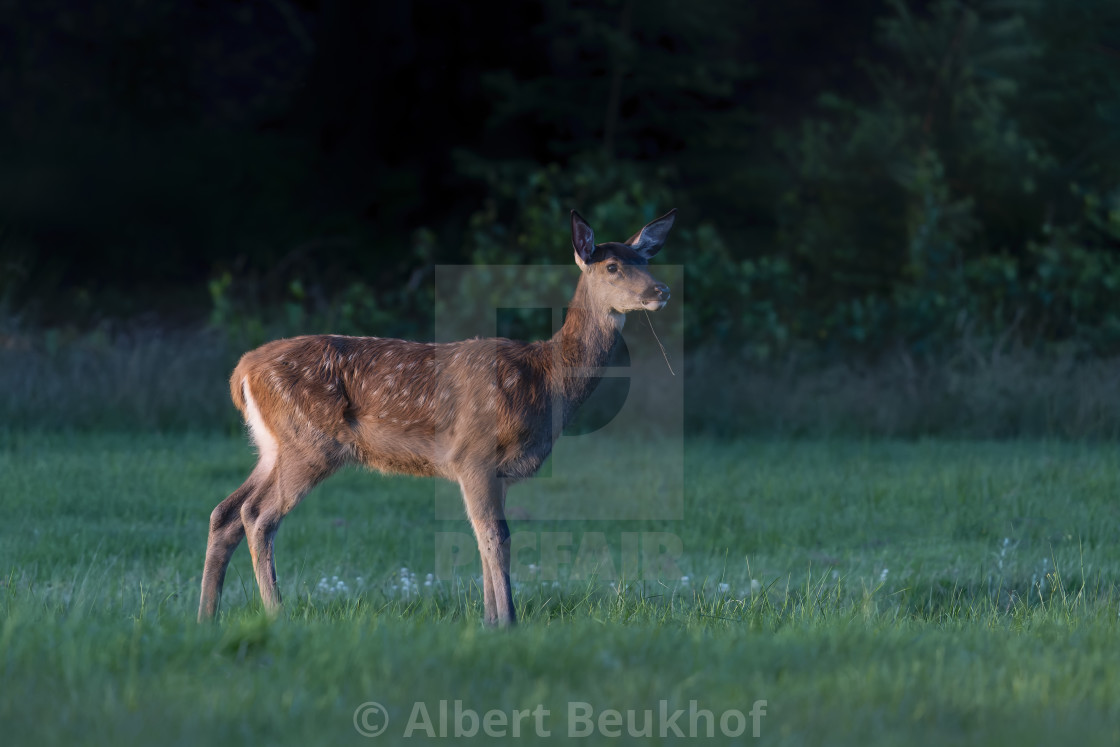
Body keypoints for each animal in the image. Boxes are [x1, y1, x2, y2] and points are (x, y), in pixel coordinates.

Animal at [196, 209, 672, 627]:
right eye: (612, 266)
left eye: (646, 260)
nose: (661, 291)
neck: (545, 381)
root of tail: (242, 372)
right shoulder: (474, 455)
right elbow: (497, 537)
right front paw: (508, 621)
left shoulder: (490, 471)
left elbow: (483, 537)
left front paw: (489, 620)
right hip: (309, 442)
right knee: (258, 515)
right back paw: (276, 613)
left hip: (273, 446)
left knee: (225, 511)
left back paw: (207, 616)